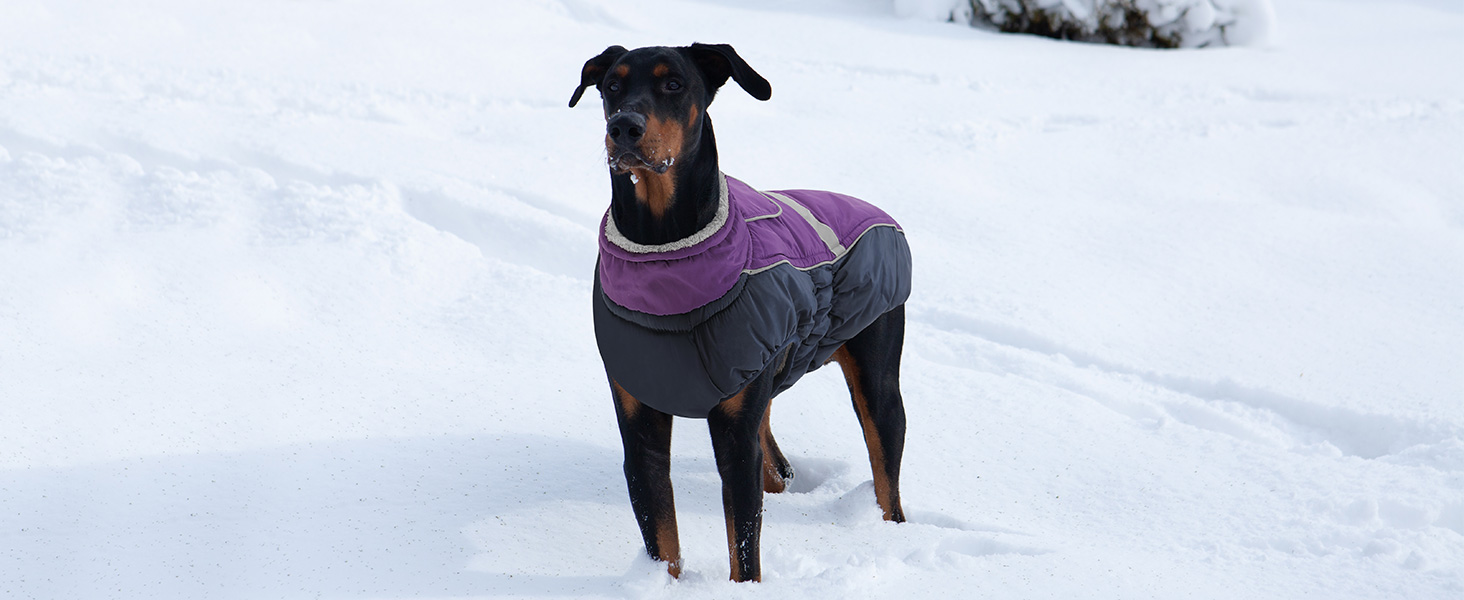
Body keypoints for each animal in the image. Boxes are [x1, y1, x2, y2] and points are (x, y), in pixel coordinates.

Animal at [565, 43, 907, 582]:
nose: (623, 127)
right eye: (612, 85)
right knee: (775, 461)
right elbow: (662, 538)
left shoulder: (733, 432)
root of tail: (883, 214)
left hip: (877, 375)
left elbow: (744, 549)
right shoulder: (639, 420)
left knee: (885, 473)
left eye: (673, 83)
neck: (664, 251)